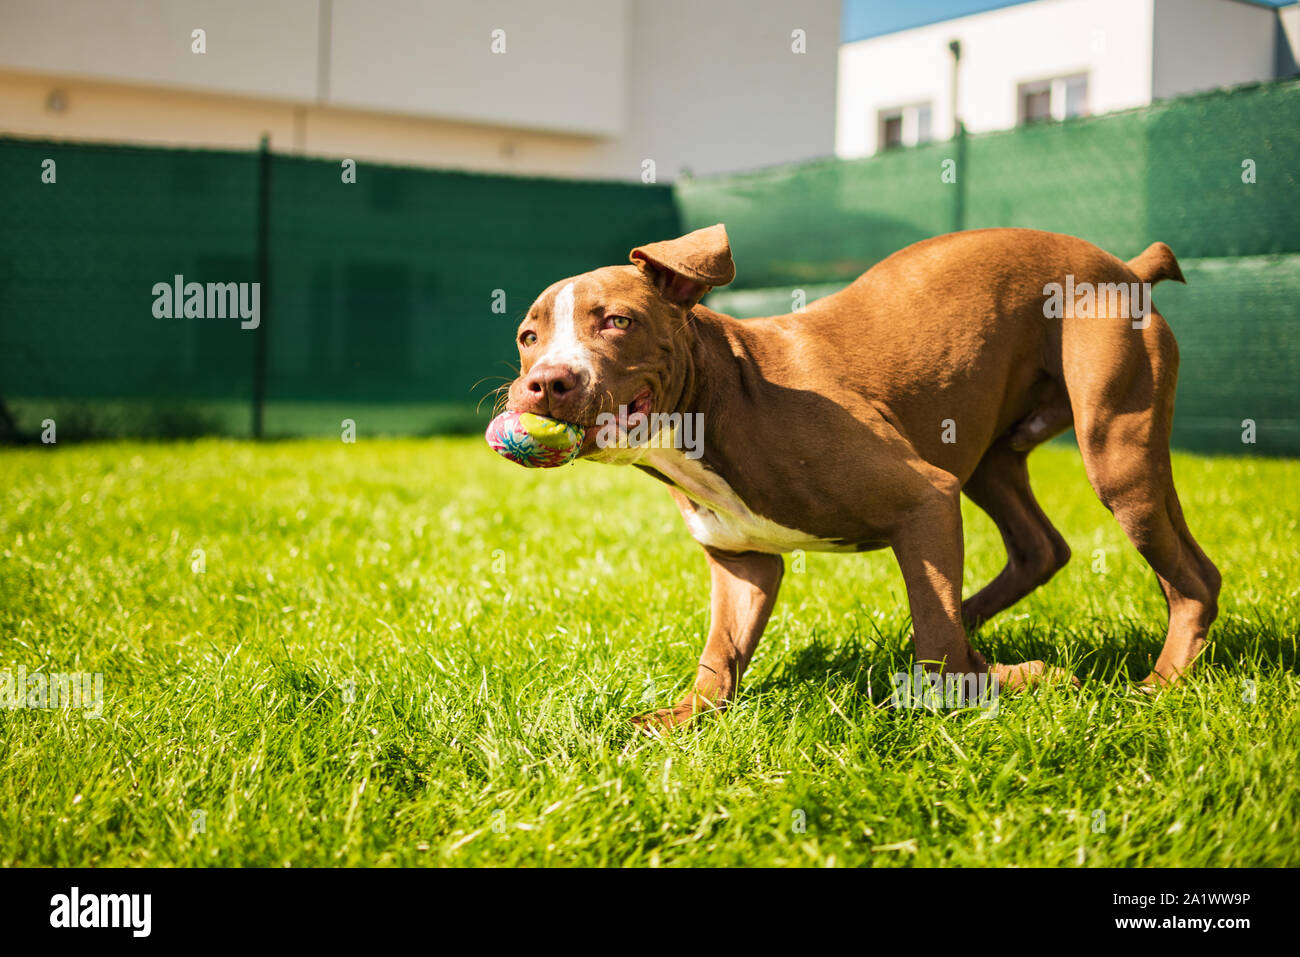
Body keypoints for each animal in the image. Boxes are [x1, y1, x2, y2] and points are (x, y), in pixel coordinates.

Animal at [504, 227, 1216, 728]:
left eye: (617, 321)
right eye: (527, 338)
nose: (544, 383)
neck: (722, 399)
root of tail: (1126, 267)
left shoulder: (924, 496)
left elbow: (936, 650)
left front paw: (984, 689)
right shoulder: (742, 562)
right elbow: (720, 651)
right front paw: (682, 718)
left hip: (1116, 451)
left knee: (1189, 579)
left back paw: (1160, 684)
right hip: (992, 459)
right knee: (1044, 549)